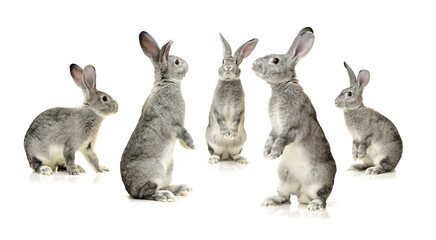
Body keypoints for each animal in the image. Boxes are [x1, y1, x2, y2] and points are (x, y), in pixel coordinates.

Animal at [119, 31, 194, 202]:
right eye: (177, 62)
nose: (188, 65)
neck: (167, 82)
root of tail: (130, 190)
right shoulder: (177, 125)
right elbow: (184, 133)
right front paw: (191, 146)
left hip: (168, 171)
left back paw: (181, 189)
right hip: (155, 172)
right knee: (145, 193)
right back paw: (165, 196)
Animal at [205, 33, 258, 164]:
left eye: (236, 62)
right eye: (223, 61)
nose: (228, 67)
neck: (229, 81)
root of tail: (225, 154)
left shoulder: (239, 109)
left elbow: (236, 120)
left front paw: (231, 134)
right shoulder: (217, 107)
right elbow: (220, 119)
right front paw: (226, 133)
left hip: (239, 143)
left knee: (234, 155)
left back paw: (242, 159)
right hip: (213, 142)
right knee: (216, 153)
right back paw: (213, 160)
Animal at [252, 27, 338, 212]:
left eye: (275, 60)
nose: (254, 63)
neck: (281, 86)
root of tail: (302, 192)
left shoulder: (293, 127)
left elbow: (282, 139)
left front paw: (275, 153)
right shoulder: (274, 127)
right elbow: (271, 137)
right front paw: (266, 153)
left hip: (318, 180)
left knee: (321, 198)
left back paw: (314, 205)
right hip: (284, 177)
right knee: (285, 198)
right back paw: (270, 200)